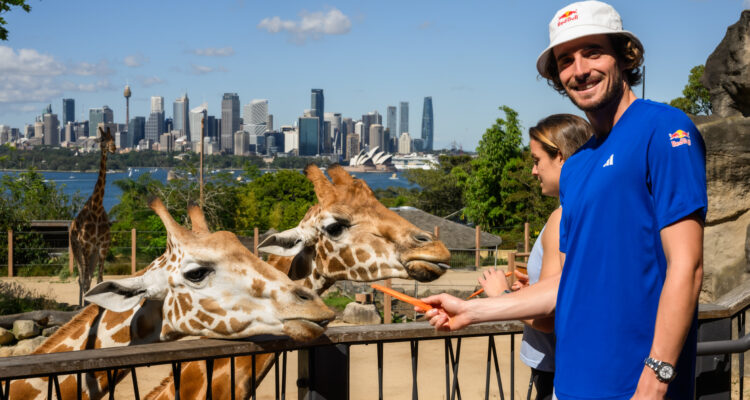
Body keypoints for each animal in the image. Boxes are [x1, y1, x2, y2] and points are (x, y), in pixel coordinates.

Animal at [70, 126, 117, 304]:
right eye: (102, 139)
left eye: (114, 139)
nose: (113, 148)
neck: (96, 209)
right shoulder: (86, 246)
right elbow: (86, 281)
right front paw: (85, 307)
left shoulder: (103, 246)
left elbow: (100, 280)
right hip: (76, 249)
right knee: (81, 278)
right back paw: (79, 305)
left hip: (93, 254)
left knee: (87, 277)